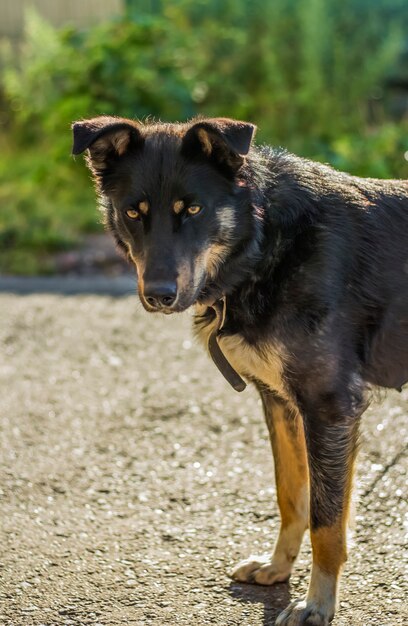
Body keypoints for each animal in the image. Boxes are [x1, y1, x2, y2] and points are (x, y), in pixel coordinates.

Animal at [71, 114, 406, 620]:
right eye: (133, 212)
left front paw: (318, 603)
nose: (159, 295)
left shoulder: (329, 408)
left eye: (193, 209)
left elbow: (327, 520)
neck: (267, 244)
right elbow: (292, 496)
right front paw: (278, 567)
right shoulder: (281, 403)